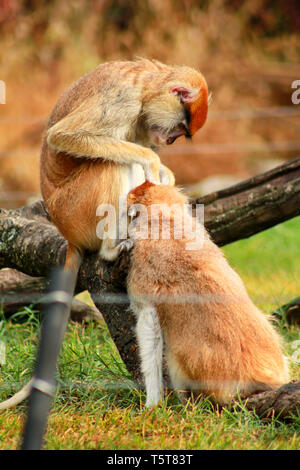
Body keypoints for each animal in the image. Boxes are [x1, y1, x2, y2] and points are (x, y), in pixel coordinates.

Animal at [0, 59, 209, 412]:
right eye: (181, 128)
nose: (169, 141)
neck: (146, 85)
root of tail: (65, 230)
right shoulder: (122, 99)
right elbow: (67, 135)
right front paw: (155, 161)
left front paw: (165, 178)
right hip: (77, 210)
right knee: (111, 164)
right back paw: (112, 247)